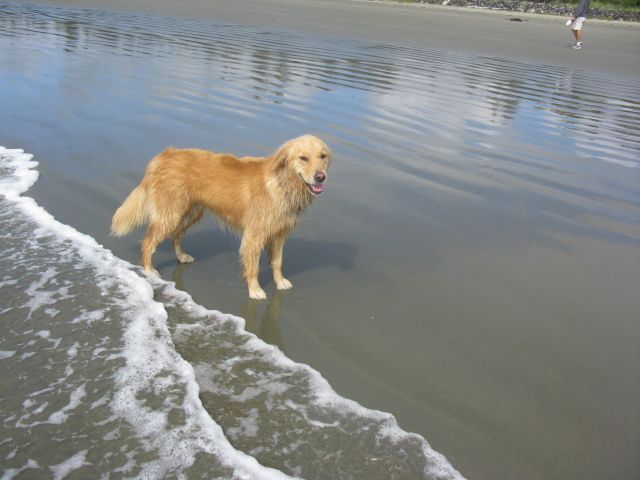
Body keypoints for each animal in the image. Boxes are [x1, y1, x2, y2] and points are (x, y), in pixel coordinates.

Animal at [111, 135, 330, 298]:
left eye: (323, 156)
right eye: (303, 158)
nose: (321, 177)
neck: (282, 182)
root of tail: (162, 155)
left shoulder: (279, 233)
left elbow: (277, 261)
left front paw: (280, 281)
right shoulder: (254, 235)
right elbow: (253, 267)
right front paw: (255, 290)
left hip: (191, 212)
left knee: (176, 236)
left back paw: (181, 256)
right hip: (170, 214)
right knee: (148, 242)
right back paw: (149, 269)